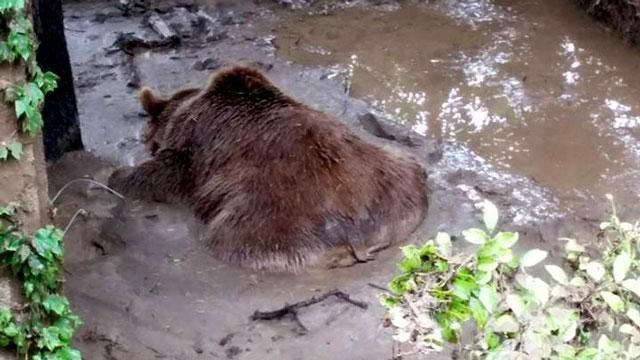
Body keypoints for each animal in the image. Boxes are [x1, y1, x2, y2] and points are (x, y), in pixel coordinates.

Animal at [110, 65, 428, 270]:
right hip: (393, 182)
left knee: (228, 240)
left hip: (271, 219)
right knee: (411, 168)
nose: (145, 141)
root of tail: (354, 228)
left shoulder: (192, 150)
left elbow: (163, 174)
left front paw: (117, 176)